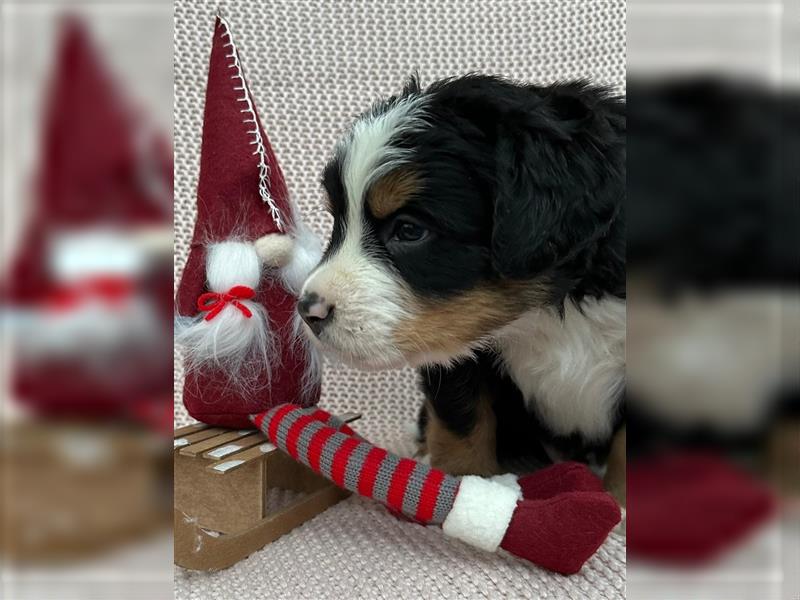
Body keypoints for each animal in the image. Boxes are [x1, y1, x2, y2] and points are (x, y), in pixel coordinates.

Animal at [298, 72, 624, 500]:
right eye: (338, 222)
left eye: (409, 230)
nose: (308, 309)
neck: (552, 310)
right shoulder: (456, 346)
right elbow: (462, 419)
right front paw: (467, 488)